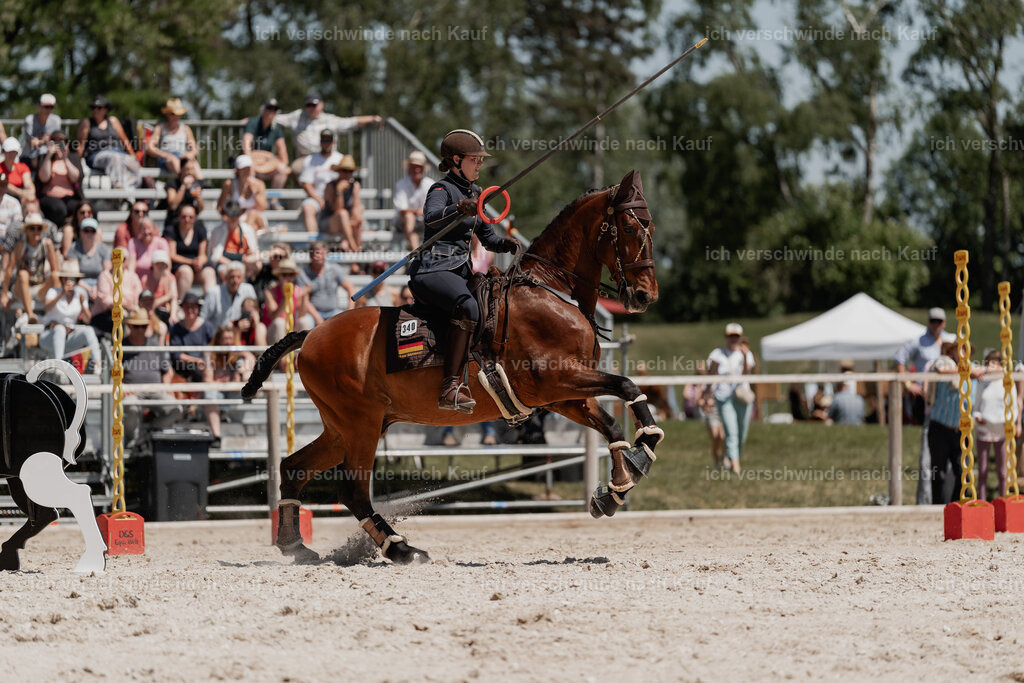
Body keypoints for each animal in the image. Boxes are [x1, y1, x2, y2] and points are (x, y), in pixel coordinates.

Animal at [242, 169, 664, 564]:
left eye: (651, 228)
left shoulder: (563, 397)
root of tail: (313, 333)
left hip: (343, 428)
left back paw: (295, 545)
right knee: (353, 490)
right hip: (360, 424)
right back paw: (401, 548)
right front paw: (639, 457)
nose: (646, 295)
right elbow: (625, 386)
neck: (549, 291)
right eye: (629, 227)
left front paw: (616, 486)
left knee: (293, 469)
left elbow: (610, 423)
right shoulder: (558, 380)